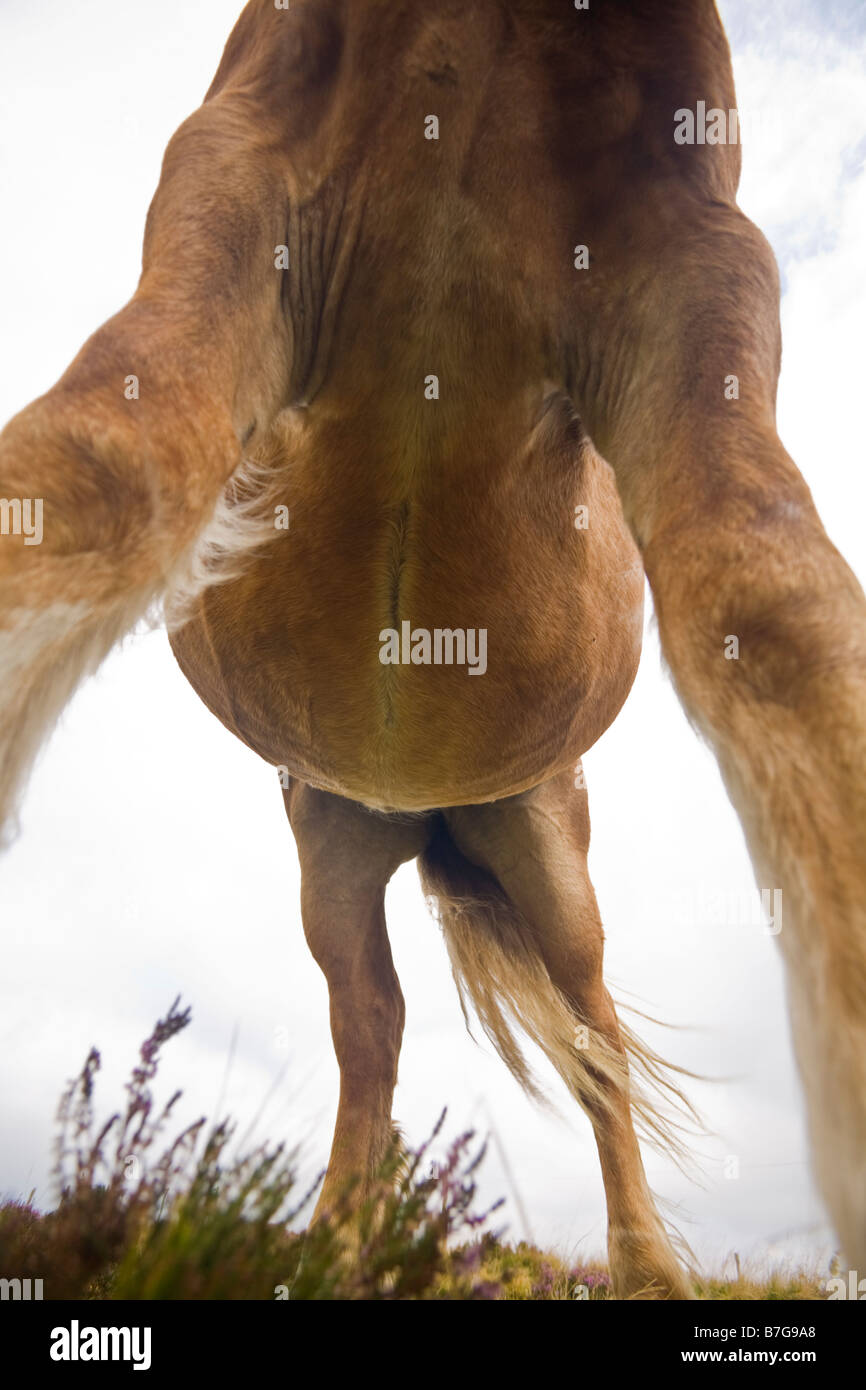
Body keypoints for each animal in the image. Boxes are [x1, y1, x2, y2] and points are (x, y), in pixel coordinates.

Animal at [1, 2, 866, 1301]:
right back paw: (336, 1249)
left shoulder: (693, 246)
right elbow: (88, 463)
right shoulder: (240, 168)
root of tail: (425, 804)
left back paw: (642, 1267)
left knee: (591, 1039)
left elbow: (771, 595)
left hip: (552, 864)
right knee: (374, 1028)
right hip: (332, 854)